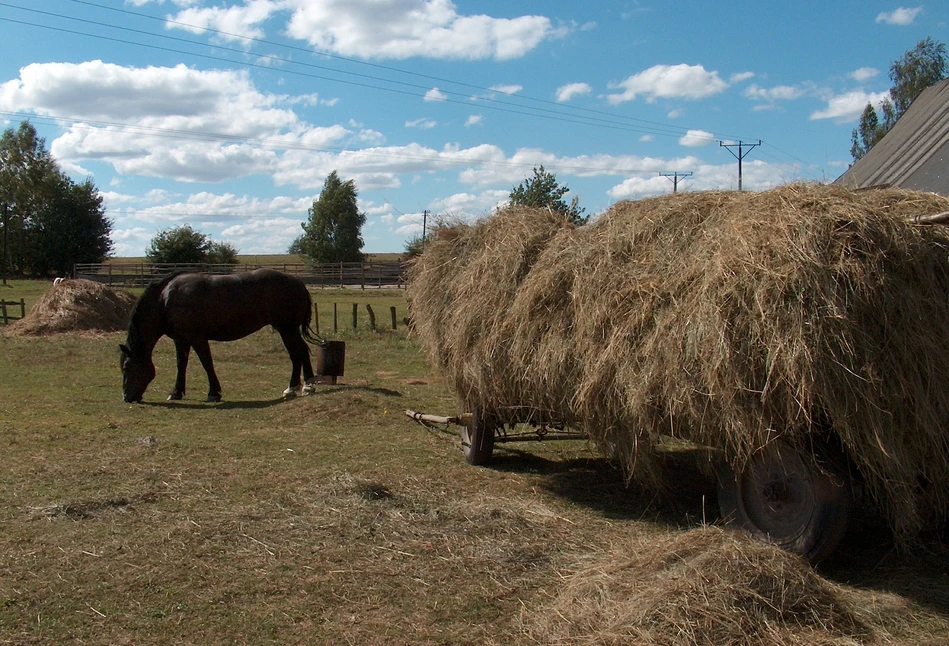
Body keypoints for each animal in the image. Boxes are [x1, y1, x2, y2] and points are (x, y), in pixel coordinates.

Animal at [117, 268, 318, 400]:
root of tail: (298, 282)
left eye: (126, 368)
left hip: (287, 329)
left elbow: (206, 363)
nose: (126, 397)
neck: (165, 300)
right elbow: (181, 364)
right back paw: (297, 387)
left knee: (298, 352)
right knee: (299, 352)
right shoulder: (181, 340)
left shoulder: (197, 338)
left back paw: (303, 386)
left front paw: (214, 392)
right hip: (288, 330)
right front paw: (176, 392)